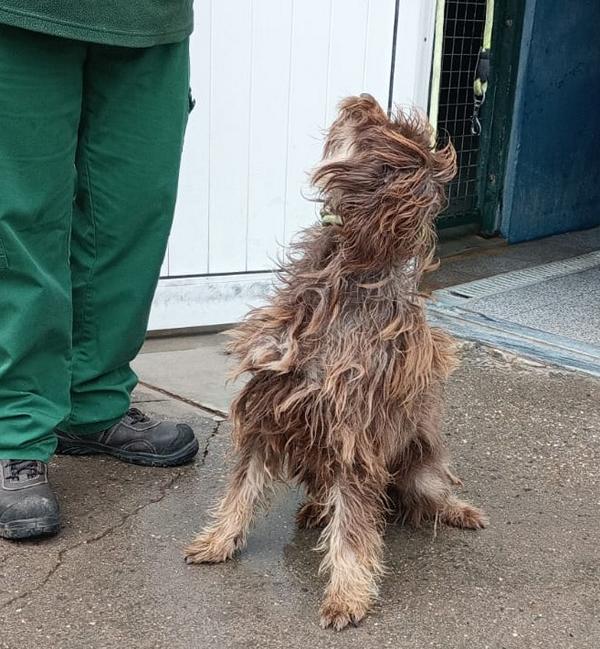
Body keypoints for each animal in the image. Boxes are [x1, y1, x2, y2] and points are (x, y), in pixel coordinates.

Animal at [184, 94, 487, 630]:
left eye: (375, 129)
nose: (359, 98)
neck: (345, 275)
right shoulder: (268, 412)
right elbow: (241, 493)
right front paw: (219, 541)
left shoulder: (354, 440)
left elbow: (353, 532)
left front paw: (347, 595)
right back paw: (314, 509)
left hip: (419, 467)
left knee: (424, 497)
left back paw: (456, 510)